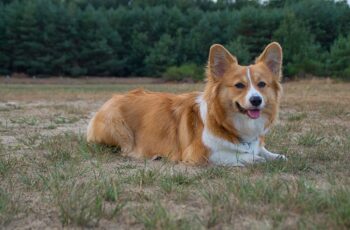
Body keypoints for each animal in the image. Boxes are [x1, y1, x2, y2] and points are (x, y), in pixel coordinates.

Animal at [86, 42, 286, 165]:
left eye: (262, 84)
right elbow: (240, 155)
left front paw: (276, 156)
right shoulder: (200, 154)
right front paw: (254, 158)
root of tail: (111, 98)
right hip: (118, 128)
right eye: (239, 85)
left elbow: (264, 151)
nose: (256, 100)